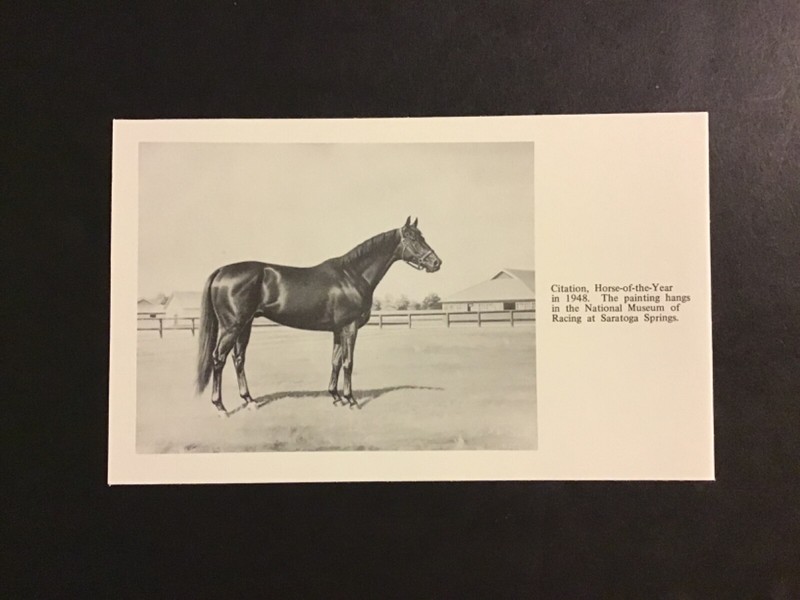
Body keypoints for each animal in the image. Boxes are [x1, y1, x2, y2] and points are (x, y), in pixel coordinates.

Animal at [196, 217, 442, 416]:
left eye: (422, 237)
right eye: (413, 239)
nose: (436, 262)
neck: (352, 275)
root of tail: (221, 272)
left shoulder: (338, 330)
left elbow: (335, 361)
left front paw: (336, 397)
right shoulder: (350, 327)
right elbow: (348, 363)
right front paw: (351, 400)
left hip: (244, 326)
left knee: (238, 359)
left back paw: (249, 401)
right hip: (232, 326)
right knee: (218, 358)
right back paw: (221, 407)